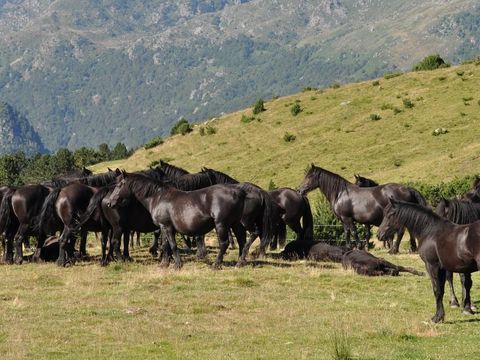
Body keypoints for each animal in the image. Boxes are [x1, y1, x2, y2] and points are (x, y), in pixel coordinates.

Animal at [298, 164, 426, 250]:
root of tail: (407, 189)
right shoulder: (343, 220)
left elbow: (353, 232)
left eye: (309, 176)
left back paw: (394, 249)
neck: (341, 193)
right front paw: (349, 247)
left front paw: (359, 246)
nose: (300, 190)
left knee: (400, 232)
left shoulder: (347, 218)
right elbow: (347, 232)